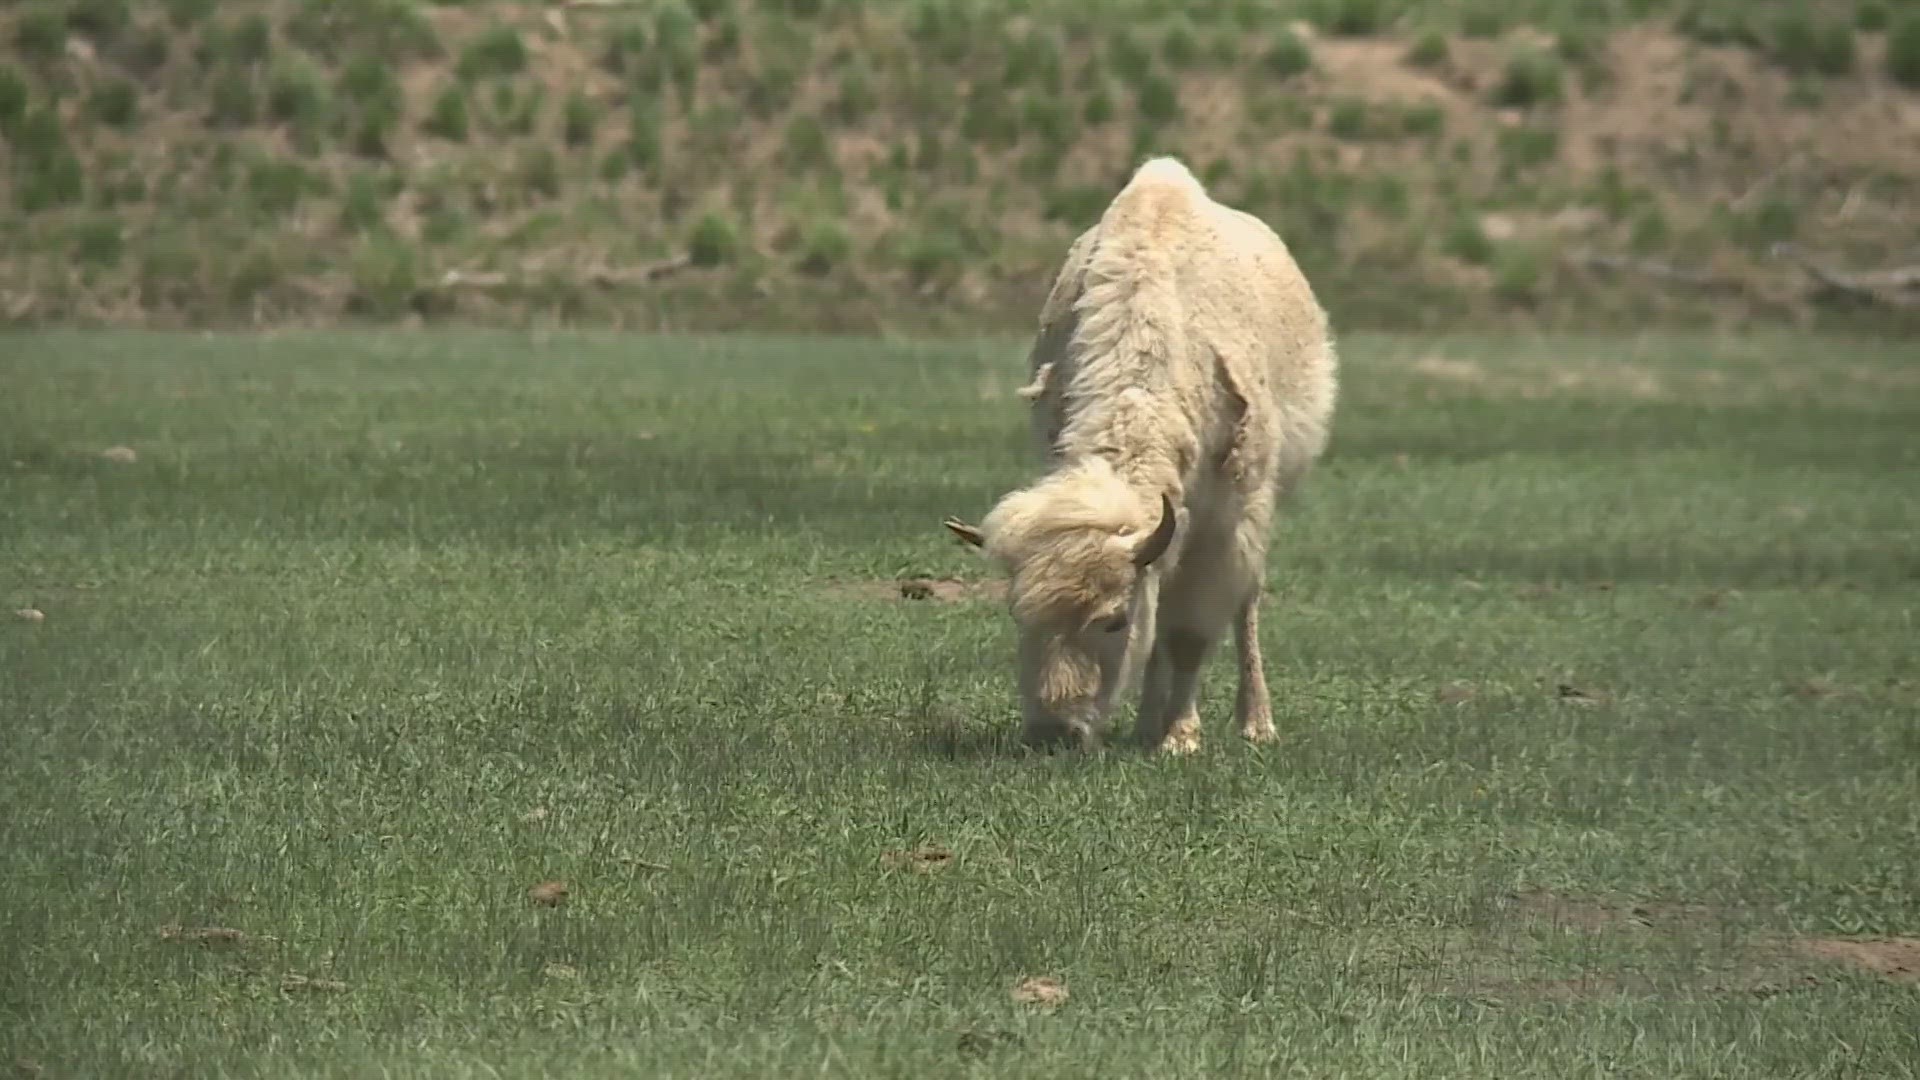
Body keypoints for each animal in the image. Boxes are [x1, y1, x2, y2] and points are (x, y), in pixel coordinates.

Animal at [940, 157, 1336, 749]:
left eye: (1113, 620)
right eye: (1019, 615)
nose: (1054, 734)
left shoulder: (1224, 526)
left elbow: (1190, 633)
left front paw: (1181, 737)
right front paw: (1160, 727)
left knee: (1244, 605)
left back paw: (1255, 722)